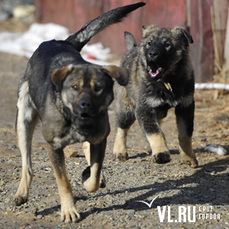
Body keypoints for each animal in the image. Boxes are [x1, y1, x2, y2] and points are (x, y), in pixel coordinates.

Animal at [13, 2, 145, 223]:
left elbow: (94, 175)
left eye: (98, 88)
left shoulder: (100, 139)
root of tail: (59, 41)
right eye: (74, 87)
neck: (74, 122)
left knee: (86, 149)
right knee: (27, 164)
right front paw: (69, 210)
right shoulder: (54, 147)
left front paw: (89, 177)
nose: (85, 105)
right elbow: (63, 182)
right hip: (24, 117)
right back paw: (22, 193)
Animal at [114, 24, 199, 168]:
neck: (167, 81)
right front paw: (161, 153)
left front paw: (189, 157)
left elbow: (185, 135)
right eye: (149, 43)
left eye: (167, 44)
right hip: (127, 109)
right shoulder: (144, 107)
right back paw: (119, 151)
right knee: (121, 128)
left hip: (159, 112)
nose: (152, 54)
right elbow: (155, 132)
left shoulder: (185, 106)